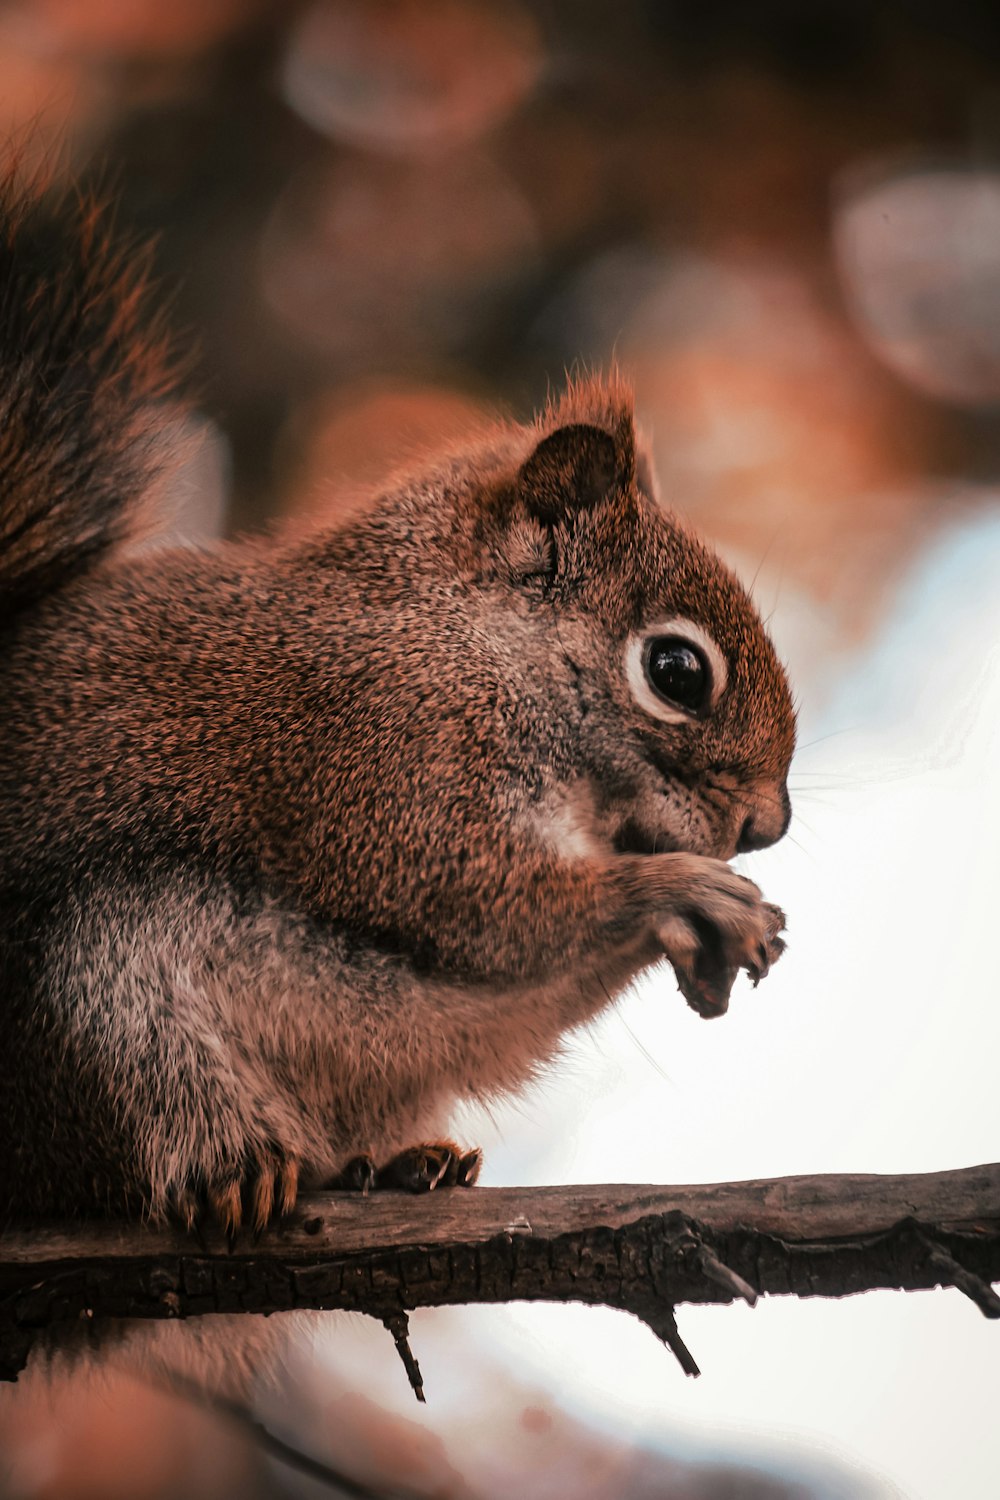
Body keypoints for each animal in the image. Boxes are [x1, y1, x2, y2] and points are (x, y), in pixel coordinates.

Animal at [0, 170, 797, 1236]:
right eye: (676, 671)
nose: (767, 824)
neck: (466, 639)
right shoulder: (385, 754)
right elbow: (479, 906)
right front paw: (685, 892)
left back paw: (397, 1161)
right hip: (93, 998)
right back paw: (232, 1164)